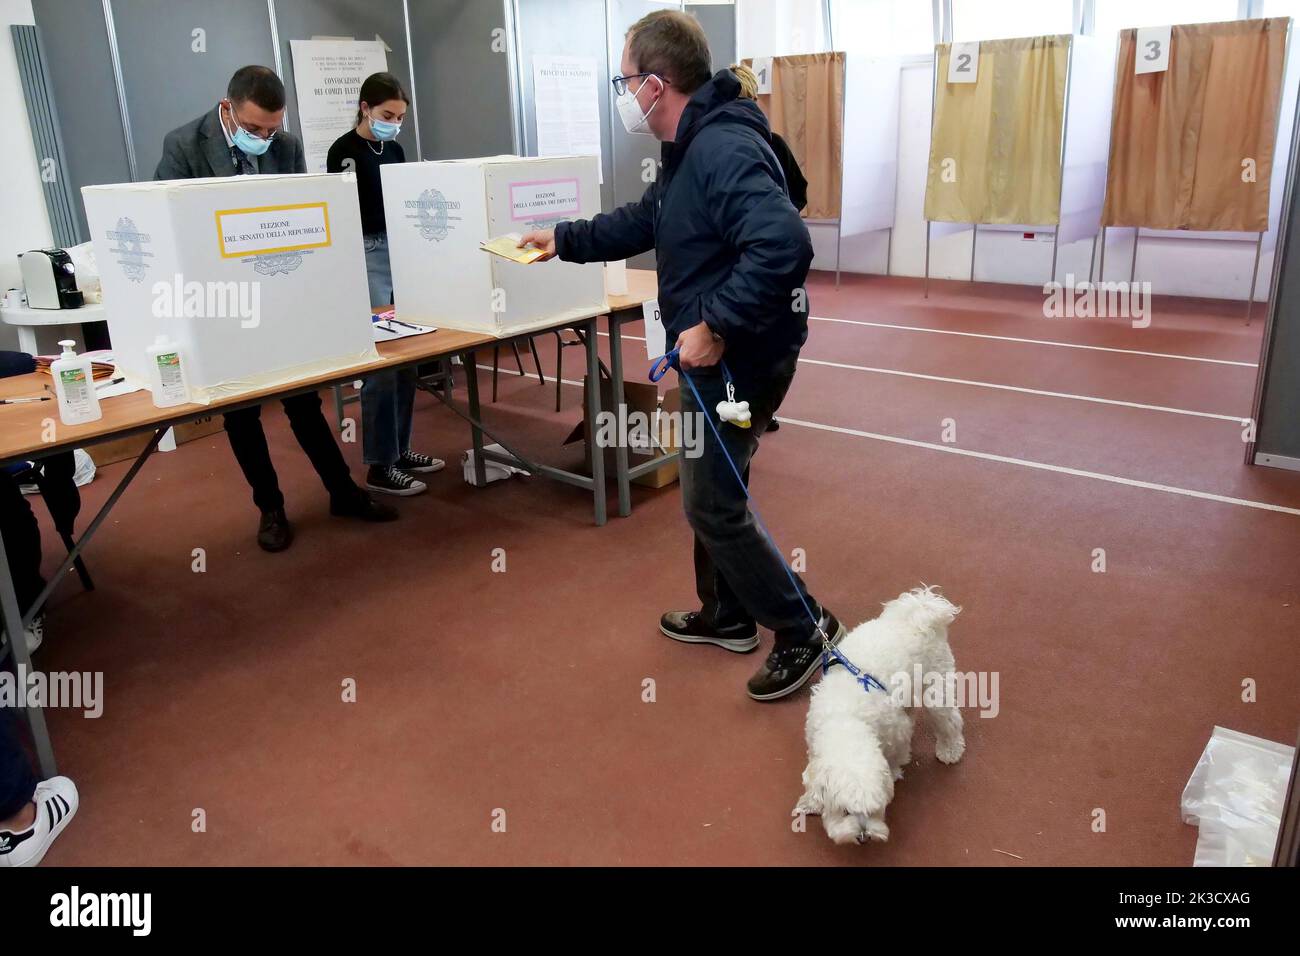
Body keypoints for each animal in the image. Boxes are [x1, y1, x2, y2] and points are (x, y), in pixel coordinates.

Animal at [790, 587, 967, 848]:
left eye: (875, 810)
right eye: (844, 811)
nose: (864, 837)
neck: (846, 721)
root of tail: (920, 613)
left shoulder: (897, 732)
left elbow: (895, 756)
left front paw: (893, 773)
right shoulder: (815, 742)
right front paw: (810, 801)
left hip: (936, 690)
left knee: (949, 721)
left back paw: (950, 750)